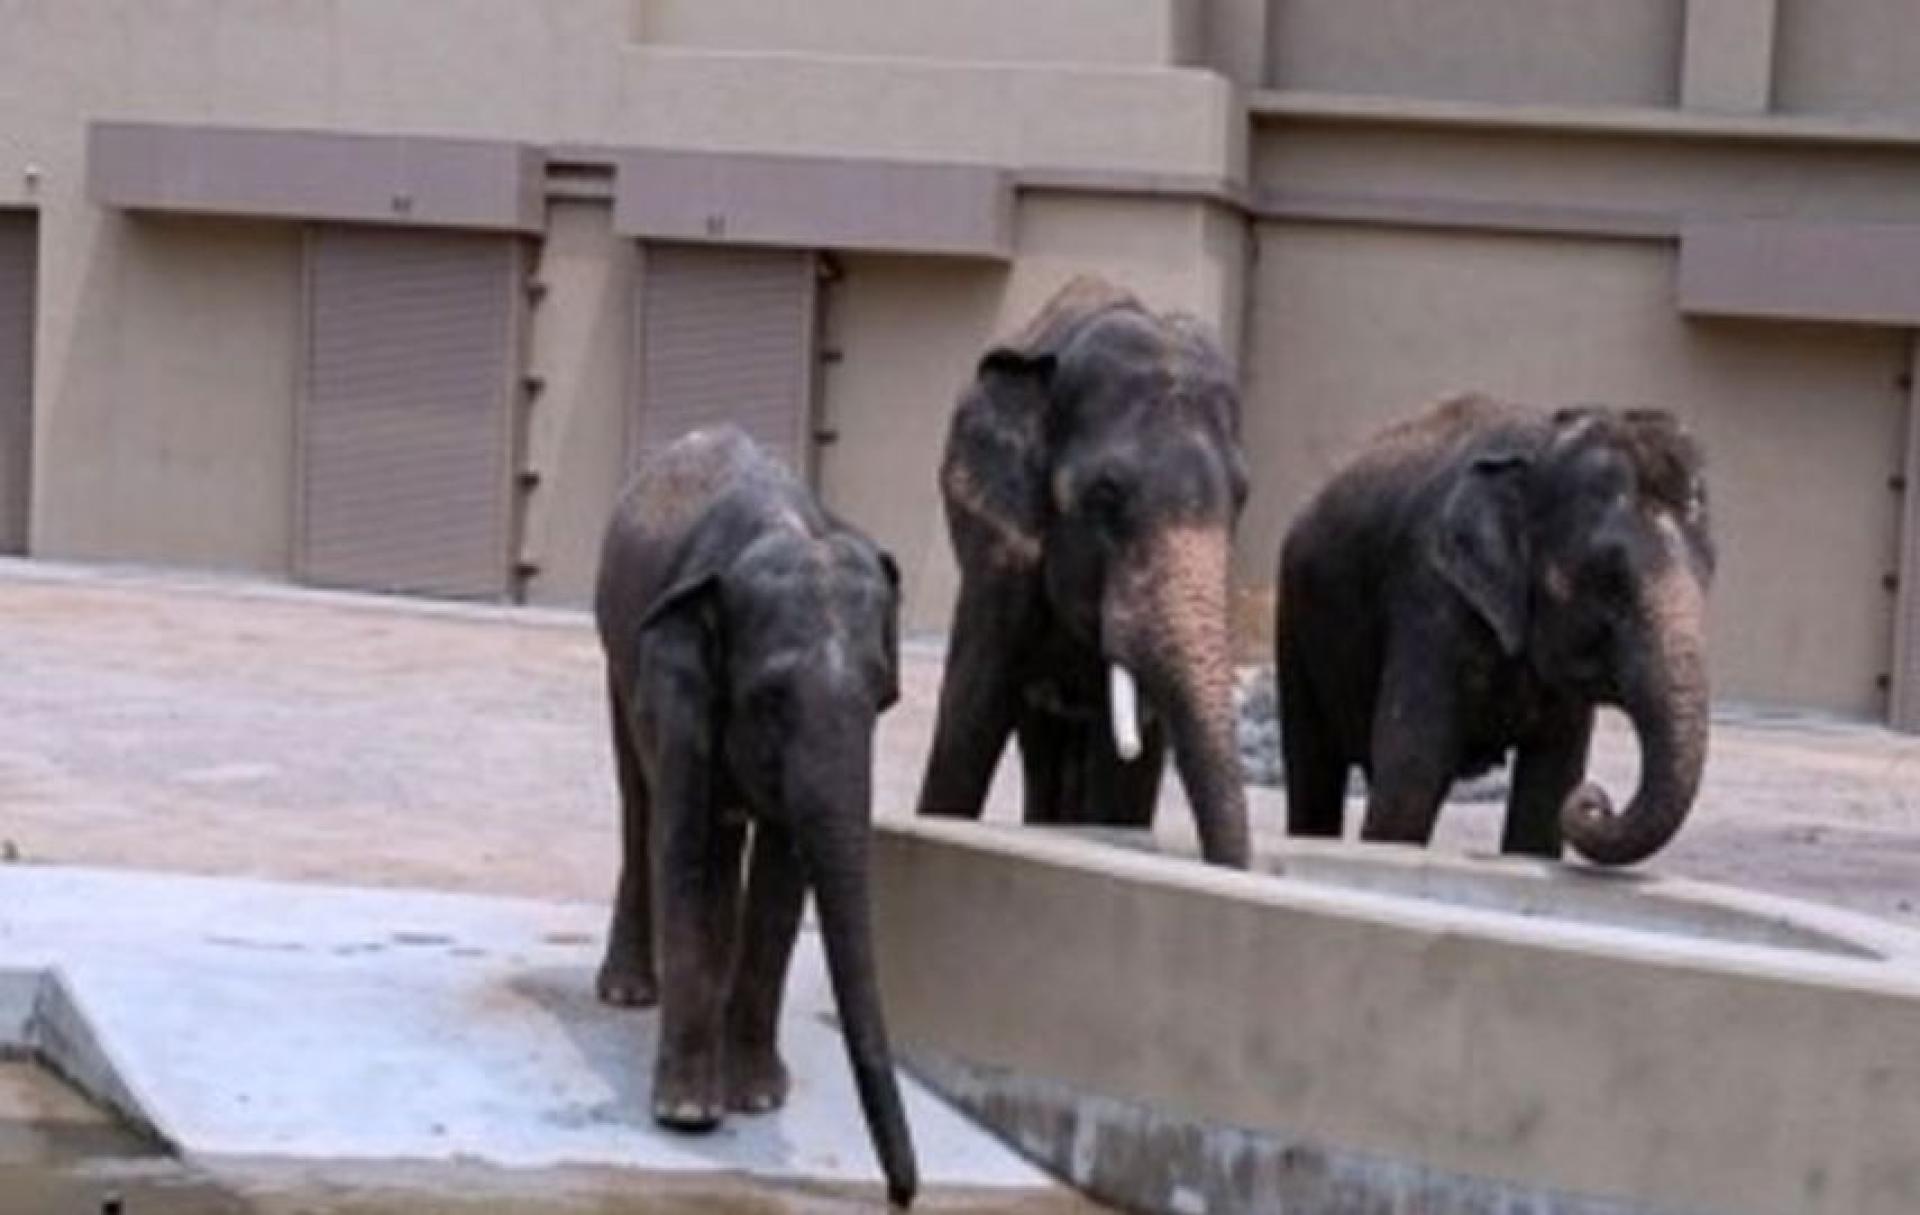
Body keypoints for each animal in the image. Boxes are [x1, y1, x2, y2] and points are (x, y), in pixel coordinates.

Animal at [593, 426, 917, 1207]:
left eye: (884, 697)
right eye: (770, 696)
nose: (902, 1195)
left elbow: (781, 875)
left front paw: (760, 1100)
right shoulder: (673, 675)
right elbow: (682, 843)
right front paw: (687, 1113)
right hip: (616, 657)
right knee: (640, 804)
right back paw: (627, 993)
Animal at [1277, 394, 1715, 866]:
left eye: (1709, 575)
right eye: (1609, 581)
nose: (1596, 801)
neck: (1545, 444)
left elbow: (1547, 793)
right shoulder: (1429, 599)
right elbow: (1412, 775)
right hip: (1294, 619)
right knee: (1315, 768)